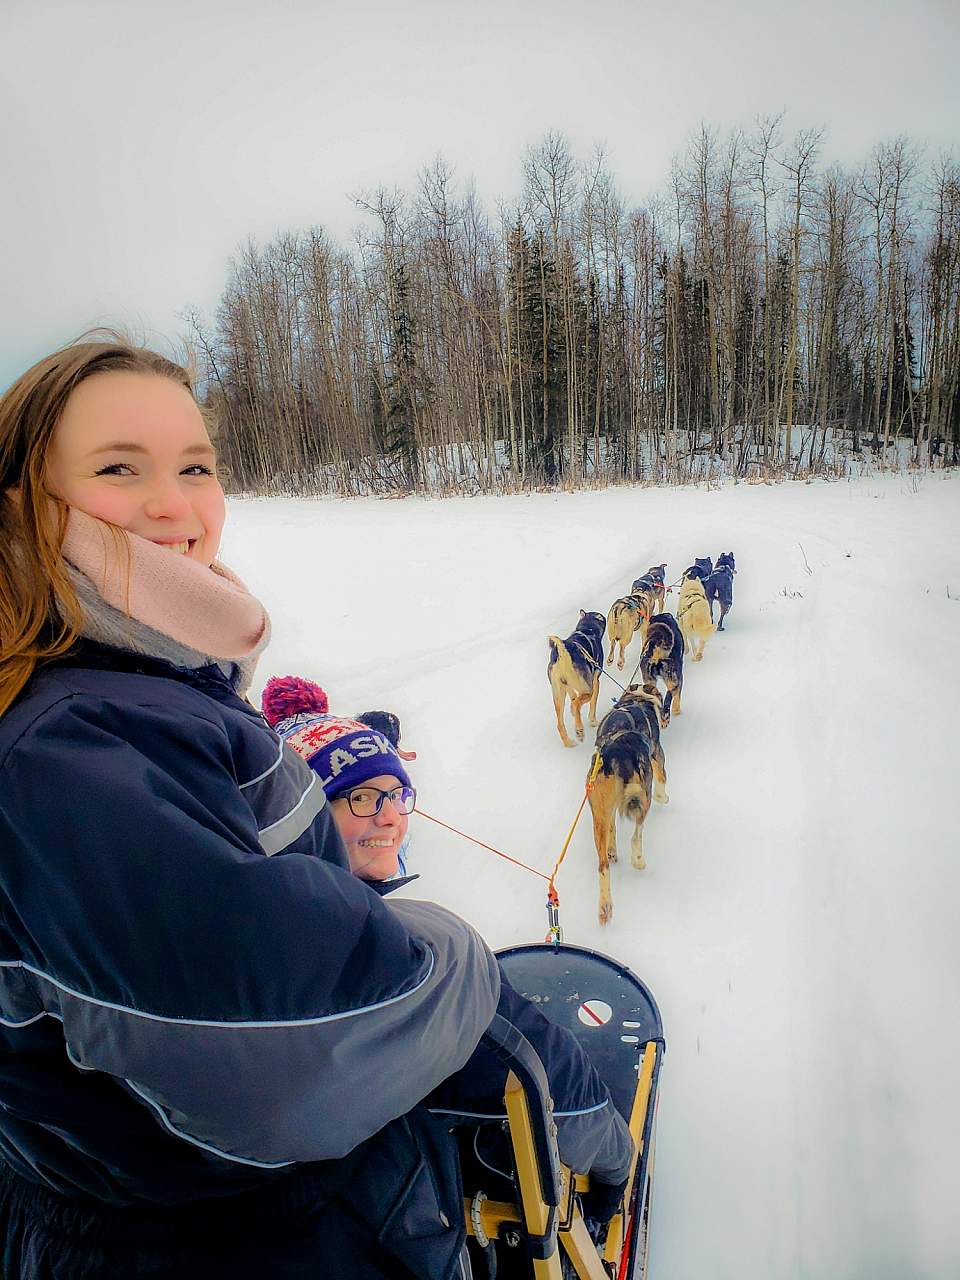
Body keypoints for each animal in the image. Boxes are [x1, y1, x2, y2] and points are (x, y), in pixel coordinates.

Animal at [547, 611, 609, 747]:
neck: (586, 630)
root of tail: (563, 652)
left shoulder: (568, 686)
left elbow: (573, 697)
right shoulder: (595, 682)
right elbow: (592, 704)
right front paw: (593, 721)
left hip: (559, 694)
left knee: (560, 723)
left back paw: (568, 742)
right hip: (587, 690)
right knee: (577, 705)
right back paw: (580, 731)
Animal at [586, 686, 670, 926]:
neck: (636, 699)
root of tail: (615, 754)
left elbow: (613, 827)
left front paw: (613, 848)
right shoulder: (657, 754)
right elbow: (663, 777)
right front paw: (664, 797)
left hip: (598, 812)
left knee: (603, 864)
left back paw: (605, 907)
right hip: (642, 796)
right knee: (636, 834)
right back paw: (638, 860)